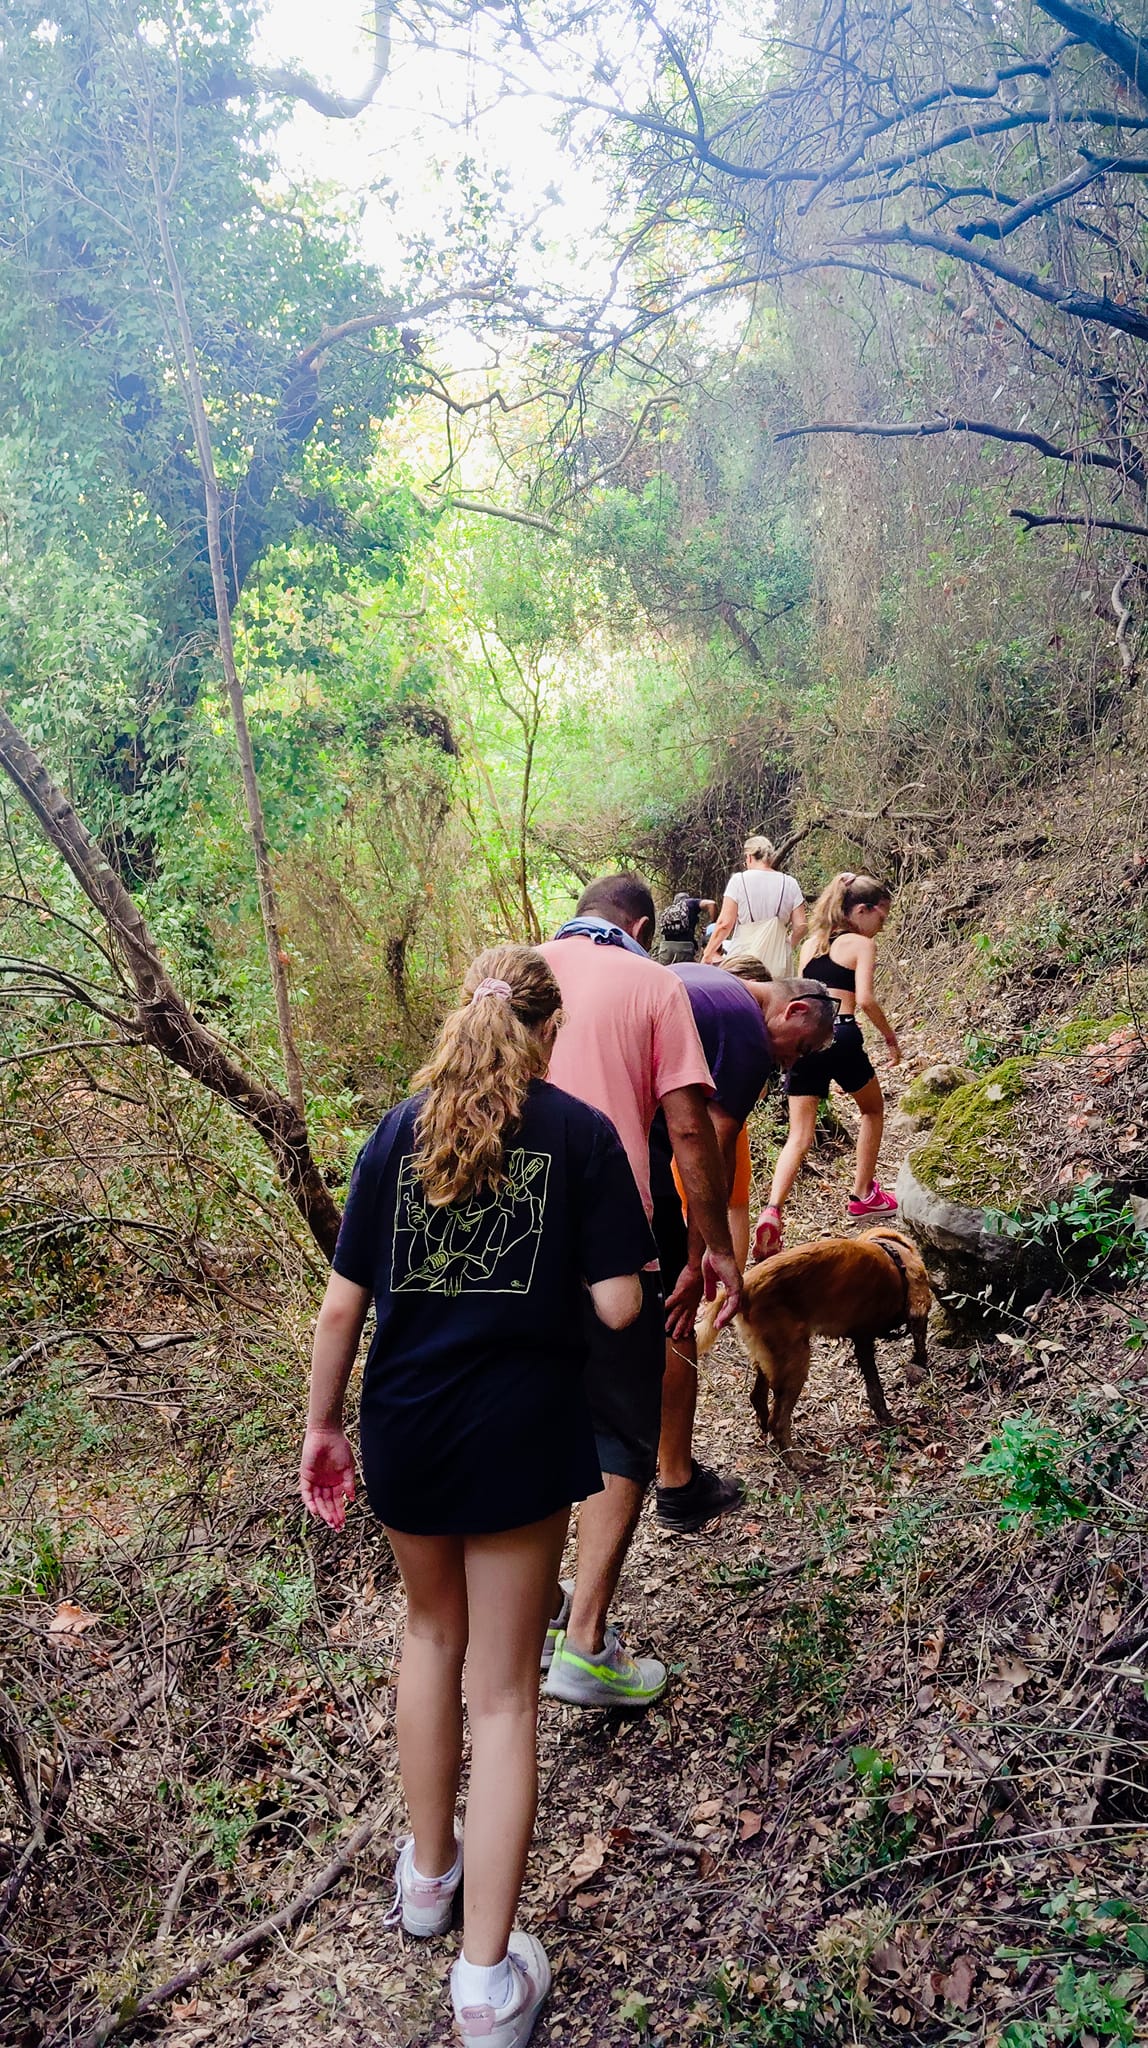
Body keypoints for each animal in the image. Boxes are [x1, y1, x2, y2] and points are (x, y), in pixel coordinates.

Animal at [698, 1228, 933, 1450]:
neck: (894, 1257)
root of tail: (745, 1285)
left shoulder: (861, 1339)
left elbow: (873, 1387)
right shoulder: (874, 1334)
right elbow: (880, 1381)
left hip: (769, 1356)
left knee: (757, 1397)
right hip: (796, 1358)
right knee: (778, 1421)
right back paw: (797, 1458)